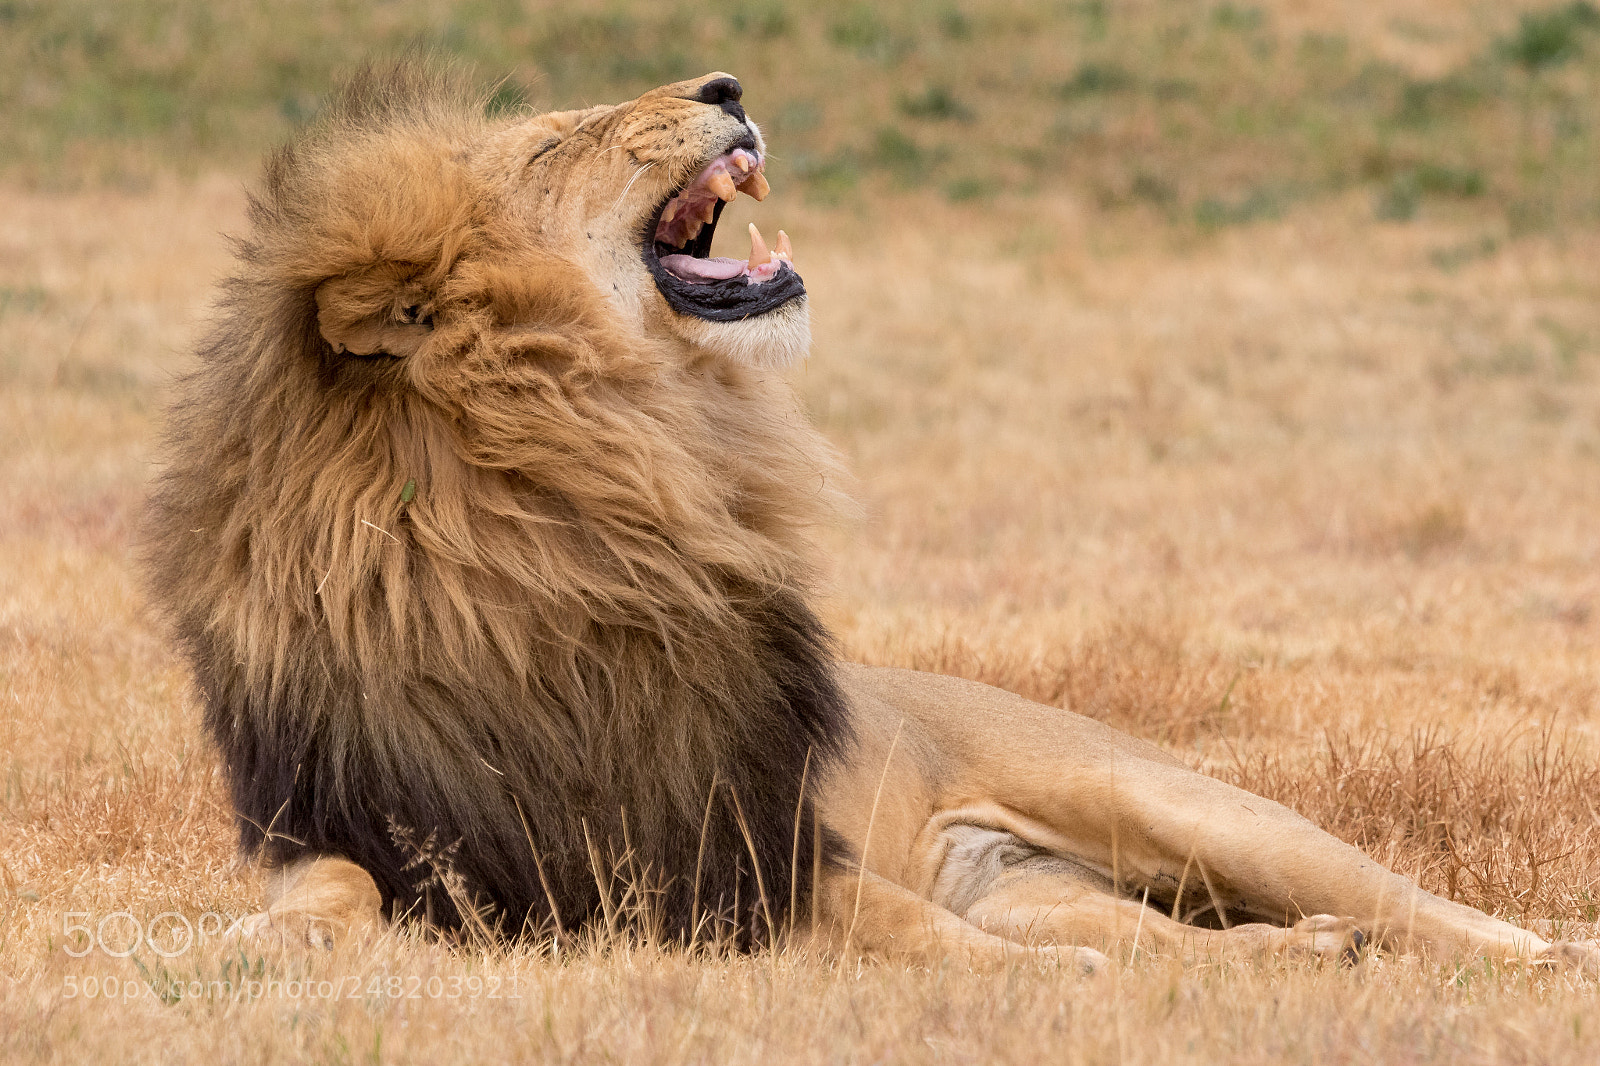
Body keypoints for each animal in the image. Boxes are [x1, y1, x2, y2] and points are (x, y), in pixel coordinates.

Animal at [142, 63, 1598, 975]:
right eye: (556, 145)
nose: (726, 86)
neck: (562, 497)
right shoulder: (371, 824)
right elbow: (330, 889)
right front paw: (259, 946)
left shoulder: (755, 843)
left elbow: (899, 926)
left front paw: (1029, 983)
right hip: (1067, 879)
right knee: (1183, 941)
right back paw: (1297, 957)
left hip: (1188, 805)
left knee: (1422, 906)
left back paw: (1523, 955)